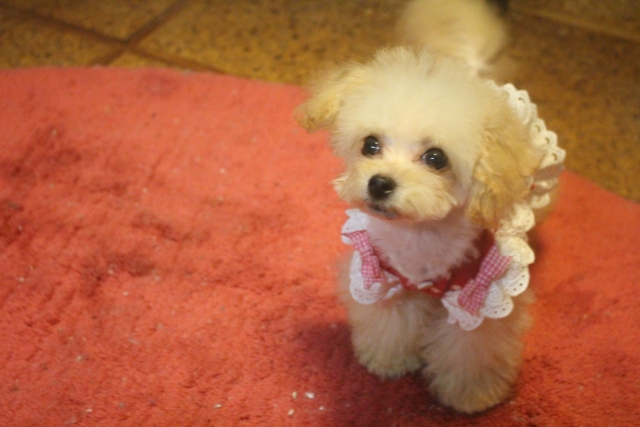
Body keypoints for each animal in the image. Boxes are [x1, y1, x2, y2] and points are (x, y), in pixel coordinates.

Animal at [296, 42, 564, 413]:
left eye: (436, 158)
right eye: (370, 144)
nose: (379, 184)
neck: (420, 235)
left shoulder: (481, 299)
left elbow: (470, 349)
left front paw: (471, 394)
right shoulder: (385, 278)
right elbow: (390, 326)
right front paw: (388, 361)